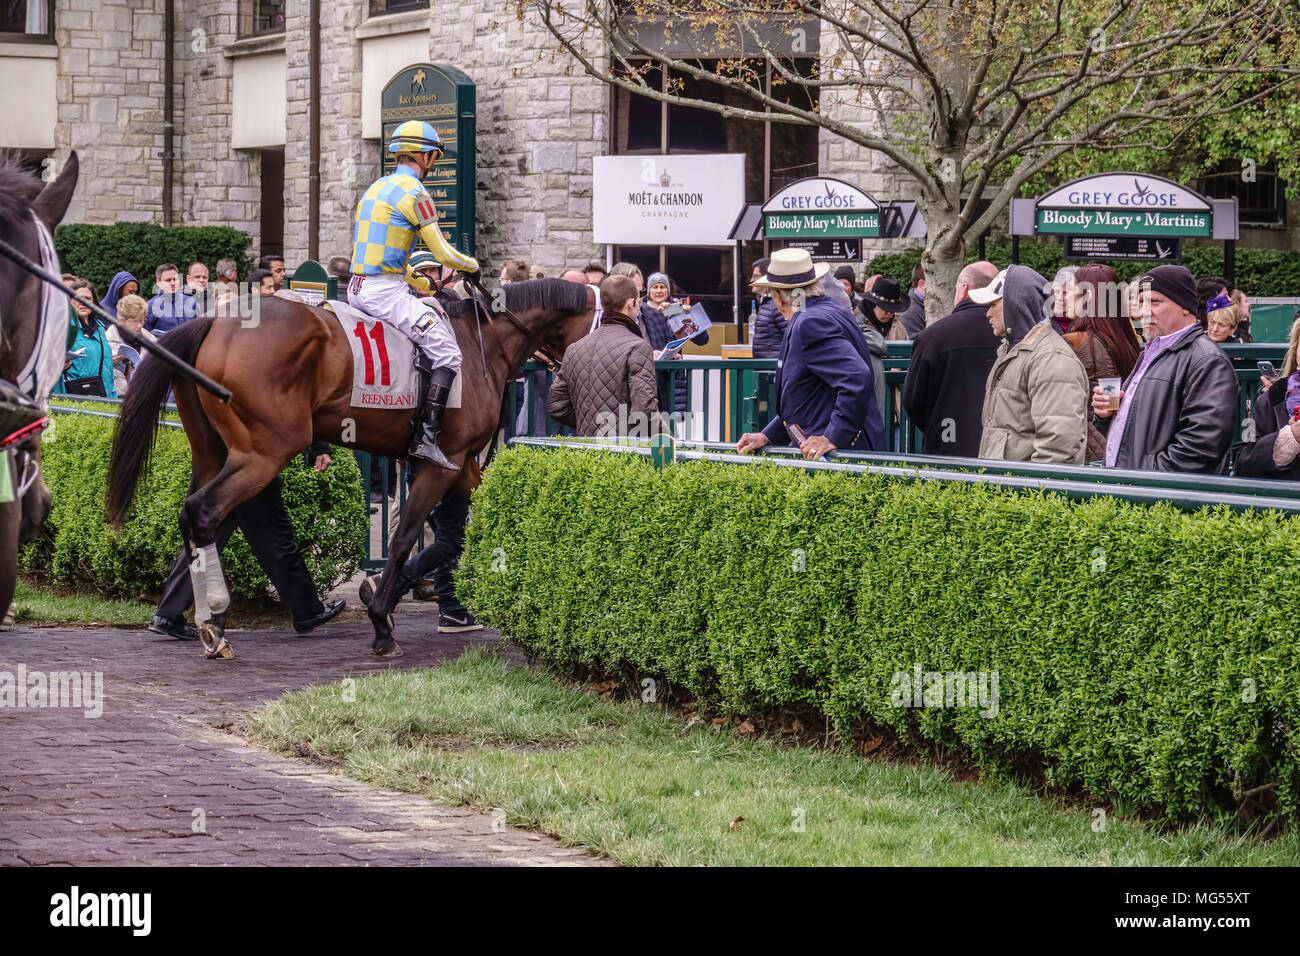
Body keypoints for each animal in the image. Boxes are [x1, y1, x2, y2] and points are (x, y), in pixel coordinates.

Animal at [106, 277, 595, 658]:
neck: (481, 348)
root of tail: (215, 321)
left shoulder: (461, 469)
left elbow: (455, 535)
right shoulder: (444, 463)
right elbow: (404, 538)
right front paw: (382, 621)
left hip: (214, 454)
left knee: (195, 515)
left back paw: (200, 620)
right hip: (264, 452)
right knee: (204, 512)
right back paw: (214, 621)